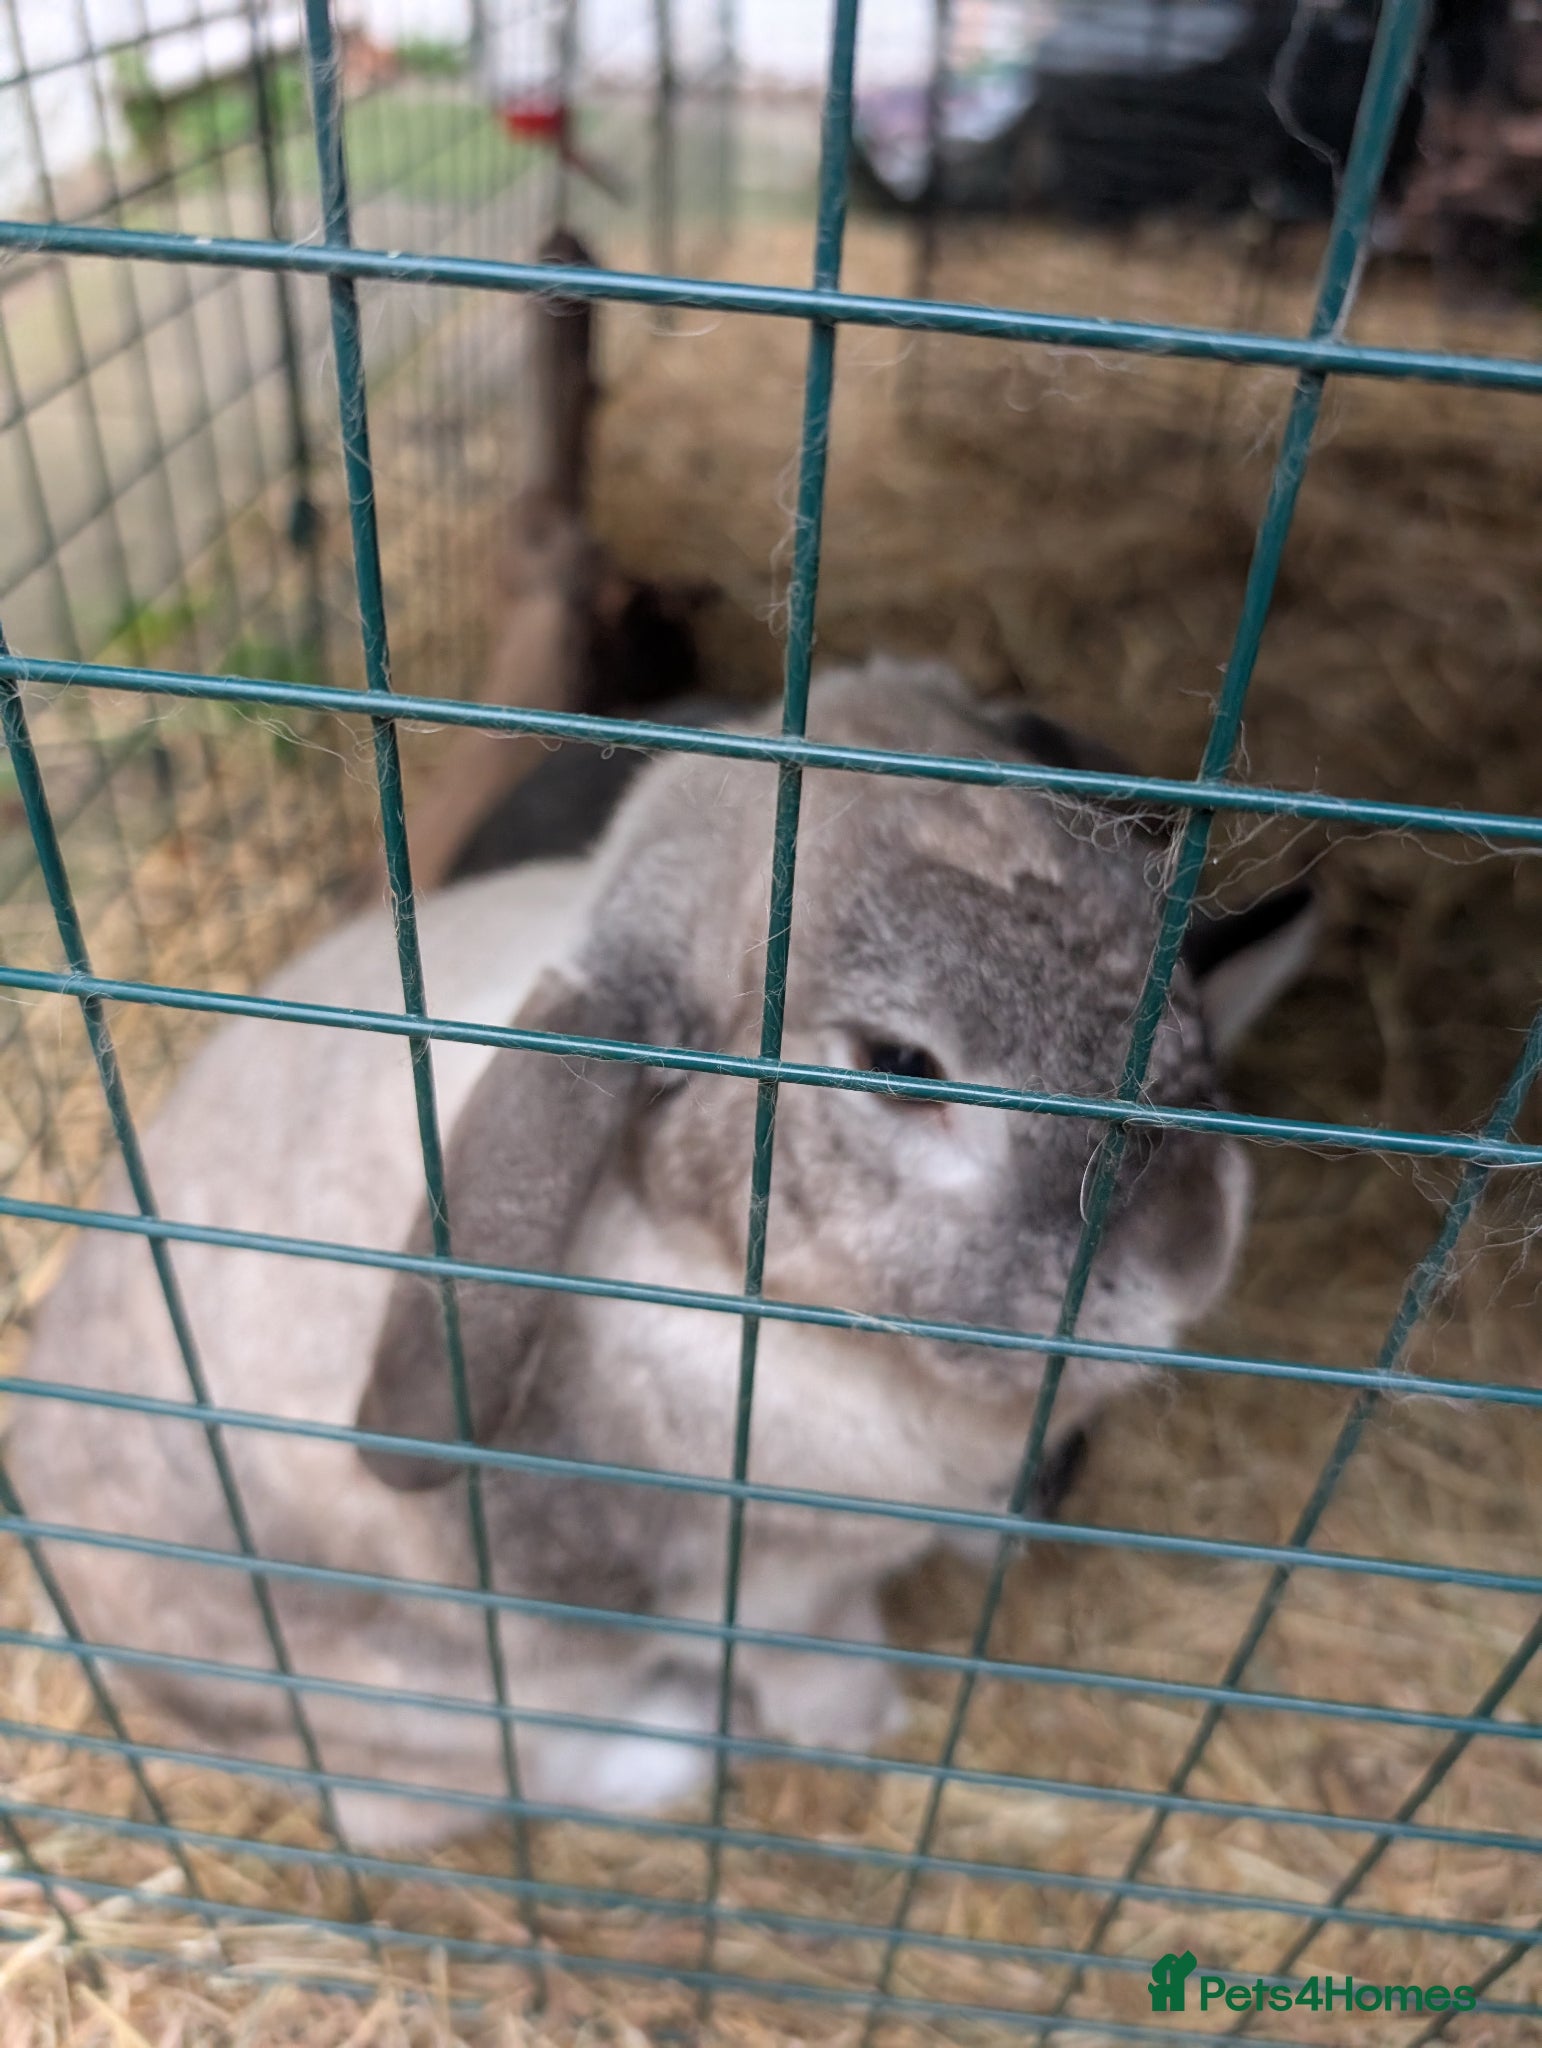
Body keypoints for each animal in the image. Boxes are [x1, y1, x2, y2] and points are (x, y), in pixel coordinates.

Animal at [12, 658, 1314, 1851]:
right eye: (901, 1063)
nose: (1190, 1249)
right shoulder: (762, 1589)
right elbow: (814, 1658)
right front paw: (865, 1723)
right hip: (417, 1700)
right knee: (430, 1796)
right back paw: (676, 1749)